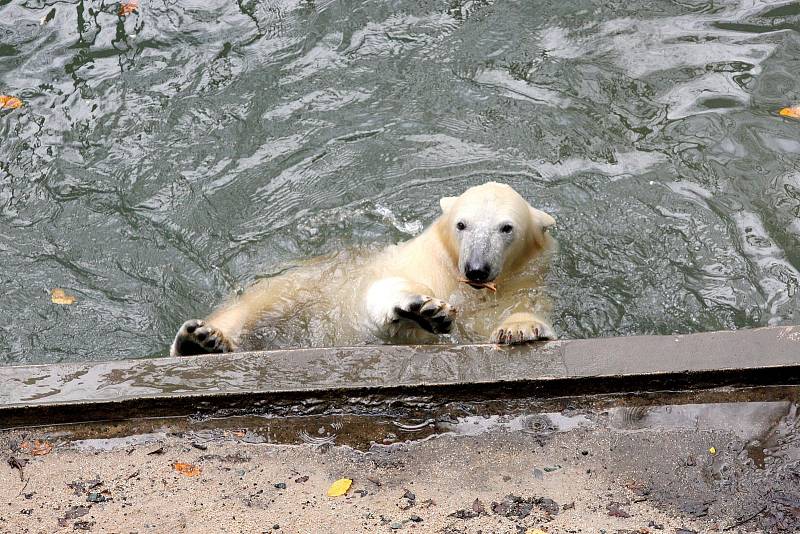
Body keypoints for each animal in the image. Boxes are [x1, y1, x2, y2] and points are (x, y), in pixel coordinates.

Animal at [169, 182, 556, 358]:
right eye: (462, 224)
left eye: (506, 228)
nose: (476, 269)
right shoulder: (420, 266)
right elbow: (380, 296)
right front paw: (426, 310)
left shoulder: (524, 281)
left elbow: (524, 312)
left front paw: (519, 329)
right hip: (286, 290)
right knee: (245, 311)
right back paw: (200, 340)